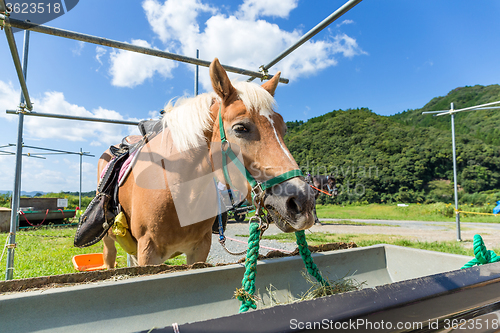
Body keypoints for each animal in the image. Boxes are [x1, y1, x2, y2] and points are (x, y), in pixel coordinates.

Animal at [98, 58, 314, 268]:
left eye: (283, 129)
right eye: (240, 128)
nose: (303, 201)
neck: (179, 192)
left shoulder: (199, 249)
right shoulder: (148, 252)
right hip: (109, 242)